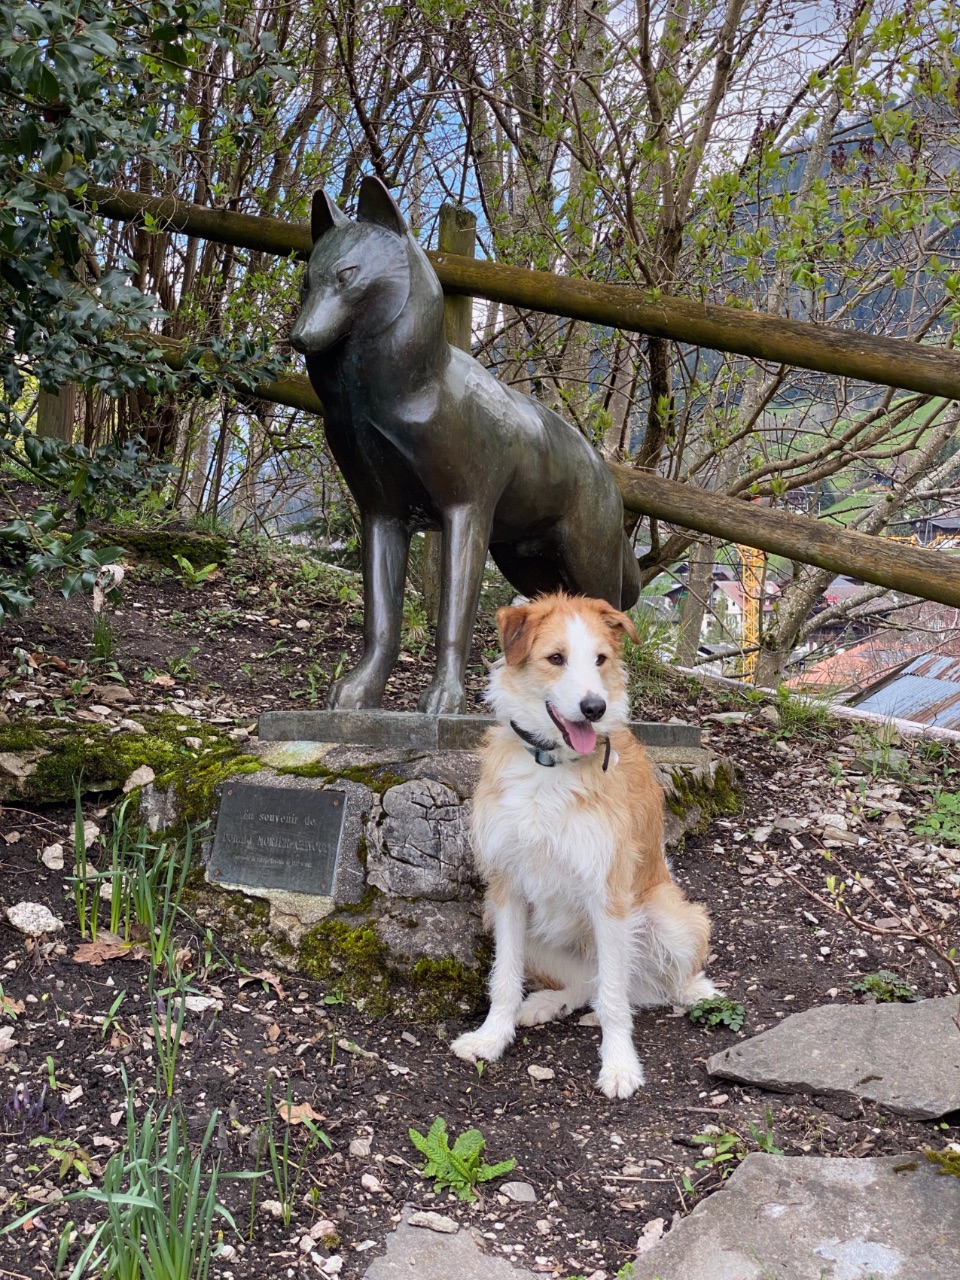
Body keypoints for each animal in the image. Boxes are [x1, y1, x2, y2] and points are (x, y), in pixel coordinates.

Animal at [455, 591, 716, 1100]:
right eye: (556, 658)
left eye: (601, 660)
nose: (594, 707)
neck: (551, 765)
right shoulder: (506, 890)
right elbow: (504, 980)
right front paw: (492, 1038)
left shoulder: (608, 896)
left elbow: (614, 998)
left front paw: (619, 1066)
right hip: (511, 926)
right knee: (590, 982)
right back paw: (547, 1004)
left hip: (668, 919)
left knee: (642, 987)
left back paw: (686, 992)